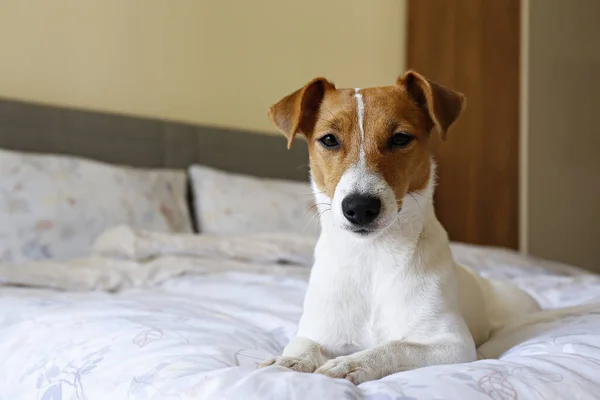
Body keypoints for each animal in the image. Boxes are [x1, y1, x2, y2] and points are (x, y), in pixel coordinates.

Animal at [258, 71, 540, 384]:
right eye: (329, 139)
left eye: (400, 138)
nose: (360, 207)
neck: (371, 257)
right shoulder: (316, 331)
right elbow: (302, 346)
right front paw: (289, 361)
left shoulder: (451, 343)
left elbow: (395, 346)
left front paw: (350, 363)